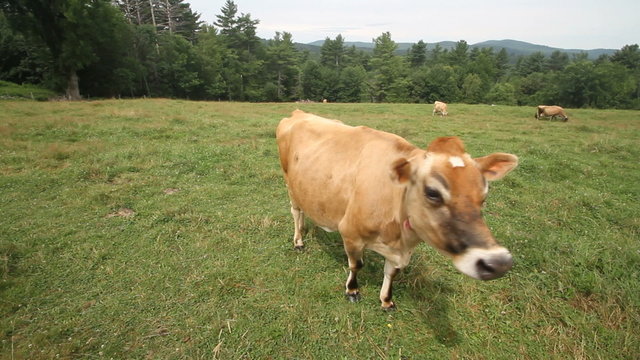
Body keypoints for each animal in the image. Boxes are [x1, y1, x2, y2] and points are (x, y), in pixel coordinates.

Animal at [276, 110, 520, 310]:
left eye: (484, 194)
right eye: (432, 192)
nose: (497, 263)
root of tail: (298, 112)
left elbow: (391, 272)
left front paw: (386, 300)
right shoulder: (350, 233)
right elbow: (356, 265)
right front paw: (352, 290)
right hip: (289, 184)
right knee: (296, 212)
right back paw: (299, 241)